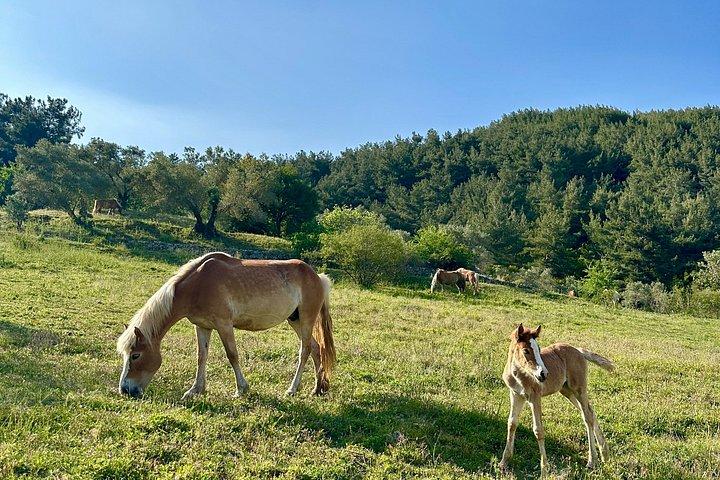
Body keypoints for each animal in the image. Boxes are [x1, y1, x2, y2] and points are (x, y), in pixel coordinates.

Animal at [117, 252, 335, 399]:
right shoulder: (202, 326)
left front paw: (241, 389)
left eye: (136, 355)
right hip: (295, 320)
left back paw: (292, 389)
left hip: (306, 319)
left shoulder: (224, 325)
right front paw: (195, 390)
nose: (125, 390)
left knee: (304, 351)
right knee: (316, 348)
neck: (198, 284)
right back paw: (318, 388)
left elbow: (232, 355)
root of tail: (317, 277)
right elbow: (201, 356)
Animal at [500, 324, 614, 477]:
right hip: (567, 391)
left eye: (539, 349)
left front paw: (544, 470)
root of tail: (578, 350)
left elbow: (538, 430)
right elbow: (511, 423)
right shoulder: (516, 394)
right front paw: (504, 462)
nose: (543, 374)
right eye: (526, 350)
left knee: (588, 416)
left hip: (579, 389)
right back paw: (604, 453)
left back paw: (592, 461)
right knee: (589, 412)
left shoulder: (535, 397)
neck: (518, 374)